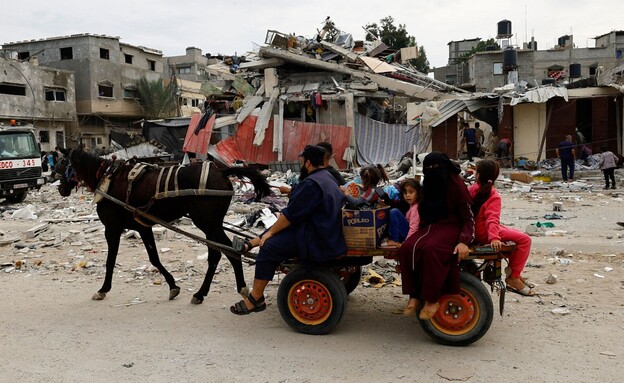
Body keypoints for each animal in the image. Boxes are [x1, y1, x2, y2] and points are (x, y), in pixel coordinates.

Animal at [58, 148, 270, 304]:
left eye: (61, 164)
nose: (61, 189)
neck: (107, 178)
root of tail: (222, 171)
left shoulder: (112, 229)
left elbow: (110, 261)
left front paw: (103, 289)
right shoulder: (143, 227)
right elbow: (154, 258)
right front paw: (173, 286)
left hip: (208, 223)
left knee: (228, 251)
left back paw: (225, 290)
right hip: (213, 224)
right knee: (220, 253)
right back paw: (209, 292)